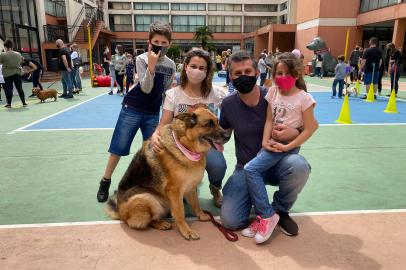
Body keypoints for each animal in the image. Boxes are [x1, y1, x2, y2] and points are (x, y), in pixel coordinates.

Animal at [106, 106, 230, 239]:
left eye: (217, 121)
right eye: (209, 124)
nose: (228, 135)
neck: (184, 145)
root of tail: (119, 211)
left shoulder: (191, 187)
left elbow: (196, 204)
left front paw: (201, 215)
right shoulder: (175, 191)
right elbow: (180, 212)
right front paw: (186, 230)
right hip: (146, 198)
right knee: (143, 222)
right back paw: (161, 224)